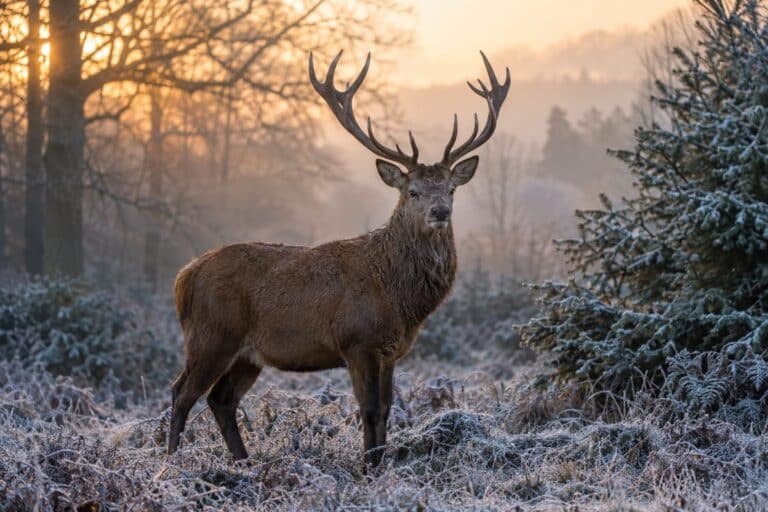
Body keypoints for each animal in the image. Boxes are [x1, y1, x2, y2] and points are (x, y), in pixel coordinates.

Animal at [167, 50, 510, 466]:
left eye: (451, 189)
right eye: (412, 191)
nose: (440, 211)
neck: (398, 297)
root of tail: (184, 277)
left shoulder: (390, 350)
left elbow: (387, 409)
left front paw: (379, 463)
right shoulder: (357, 341)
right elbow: (370, 409)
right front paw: (368, 467)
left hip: (247, 354)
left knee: (221, 399)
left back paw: (243, 463)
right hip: (212, 334)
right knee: (181, 392)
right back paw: (167, 464)